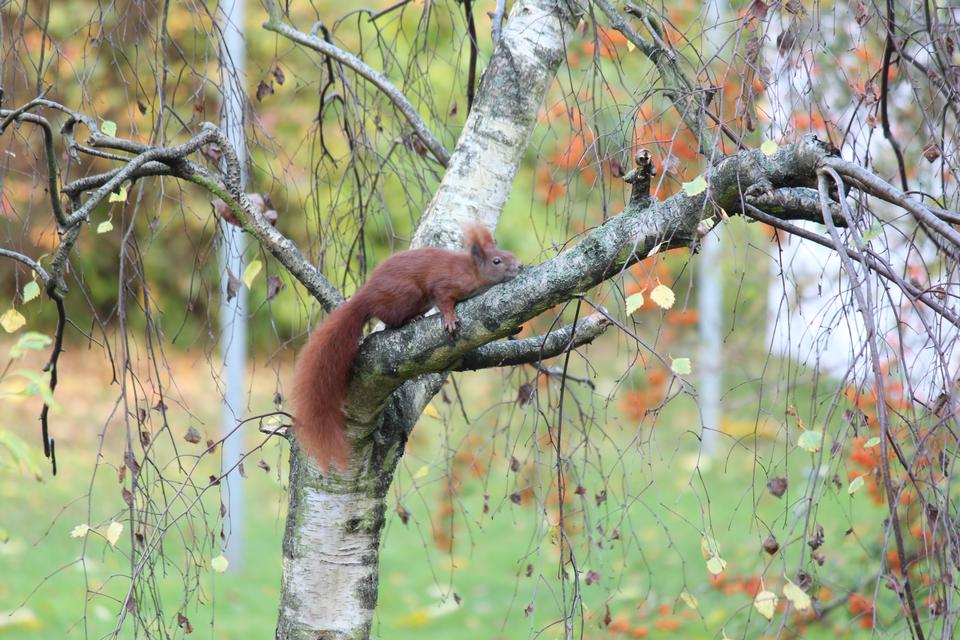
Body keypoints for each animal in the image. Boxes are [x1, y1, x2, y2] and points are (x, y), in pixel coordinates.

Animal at [290, 224, 520, 470]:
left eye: (508, 253)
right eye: (497, 261)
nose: (520, 266)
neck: (472, 272)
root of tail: (366, 299)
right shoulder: (445, 283)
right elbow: (444, 300)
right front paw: (449, 319)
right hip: (407, 294)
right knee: (390, 321)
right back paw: (409, 320)